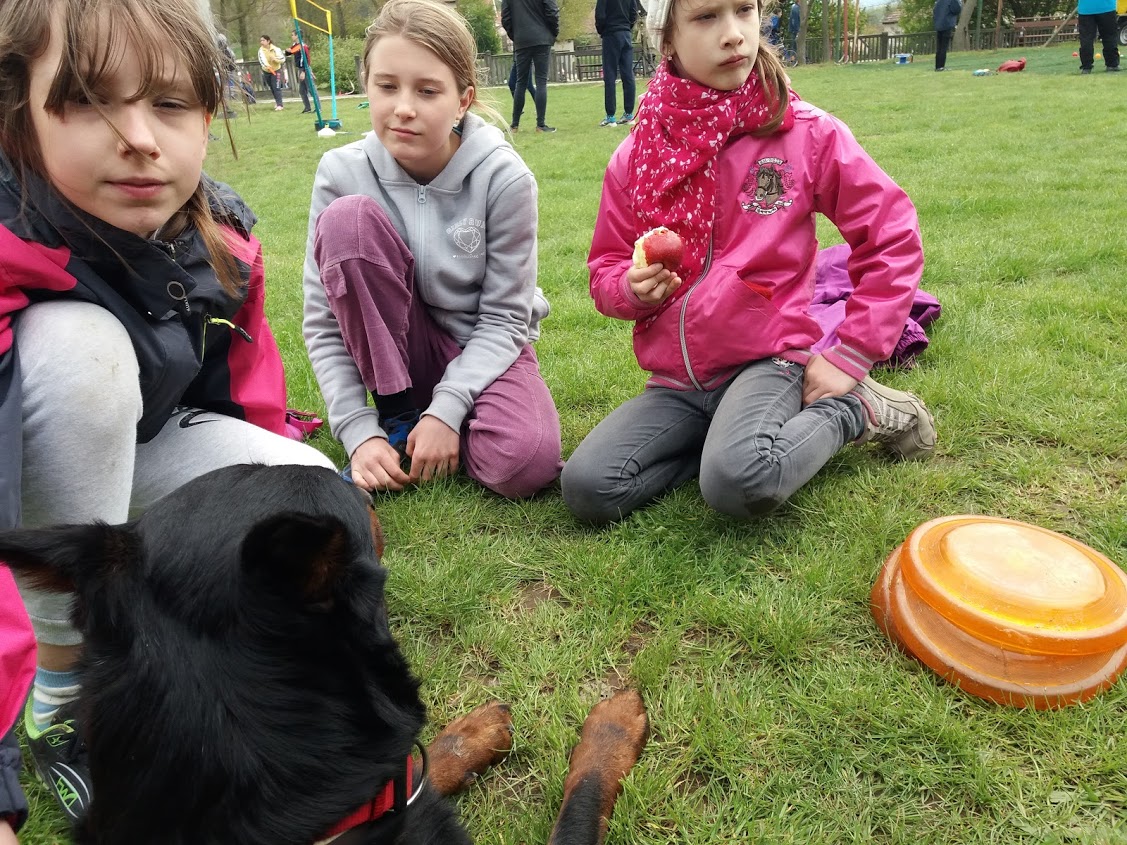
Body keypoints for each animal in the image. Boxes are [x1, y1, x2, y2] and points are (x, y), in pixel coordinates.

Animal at [0, 466, 649, 842]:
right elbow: (582, 798)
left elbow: (419, 765)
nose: (365, 482)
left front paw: (474, 732)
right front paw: (613, 724)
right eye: (349, 499)